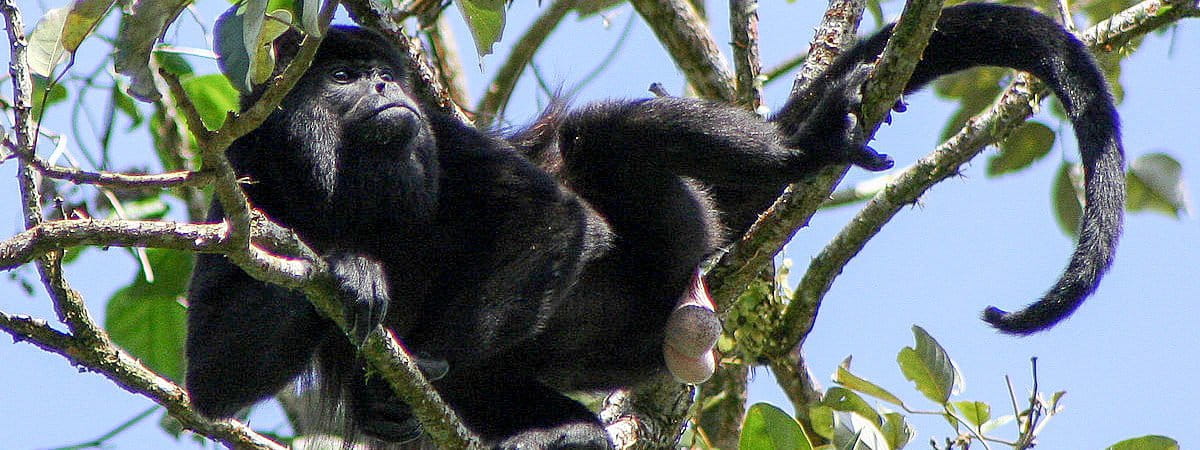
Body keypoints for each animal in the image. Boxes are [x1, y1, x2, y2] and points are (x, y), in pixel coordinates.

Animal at [185, 3, 1122, 448]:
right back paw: (562, 433)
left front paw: (400, 363)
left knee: (606, 135)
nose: (387, 89)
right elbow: (214, 381)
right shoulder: (241, 182)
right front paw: (352, 269)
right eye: (343, 76)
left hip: (676, 240)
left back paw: (795, 148)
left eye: (384, 75)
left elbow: (550, 218)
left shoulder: (444, 139)